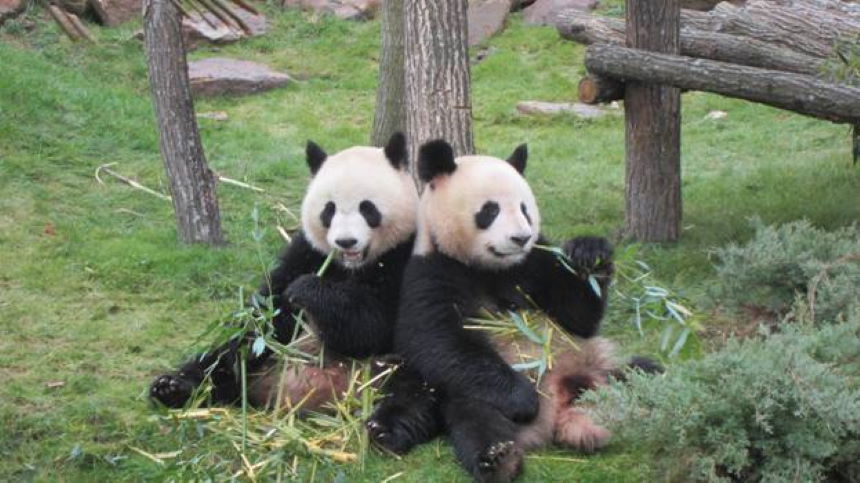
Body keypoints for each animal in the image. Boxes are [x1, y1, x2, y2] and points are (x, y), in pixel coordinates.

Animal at [150, 132, 420, 412]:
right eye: (329, 210)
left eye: (367, 208)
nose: (346, 242)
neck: (352, 267)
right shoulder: (307, 252)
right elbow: (269, 310)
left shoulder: (404, 255)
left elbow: (373, 323)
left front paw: (308, 290)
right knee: (227, 354)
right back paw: (174, 387)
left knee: (409, 378)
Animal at [366, 140, 656, 483]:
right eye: (489, 211)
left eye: (524, 209)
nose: (520, 238)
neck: (493, 268)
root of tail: (559, 410)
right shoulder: (432, 271)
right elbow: (438, 340)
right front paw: (523, 397)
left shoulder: (535, 262)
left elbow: (577, 318)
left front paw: (589, 253)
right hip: (474, 396)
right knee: (475, 418)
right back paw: (497, 456)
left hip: (598, 366)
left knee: (642, 370)